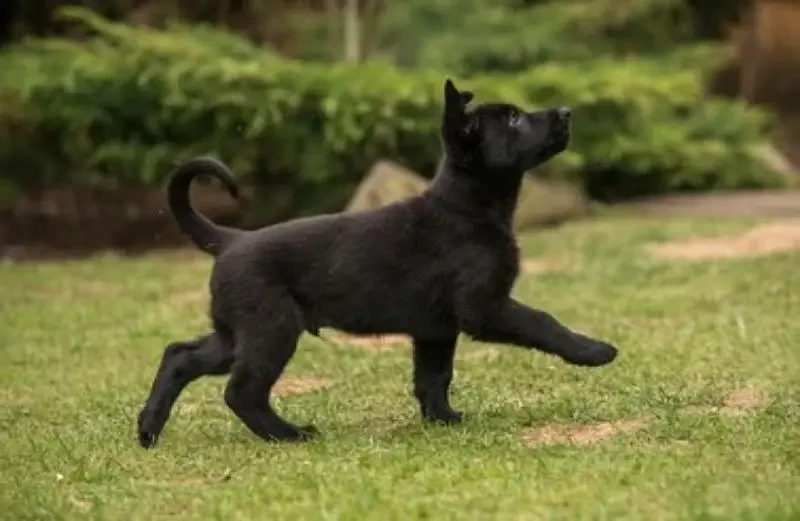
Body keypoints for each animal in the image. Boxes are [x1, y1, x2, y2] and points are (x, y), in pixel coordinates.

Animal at [138, 78, 620, 446]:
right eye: (515, 119)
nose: (566, 112)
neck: (469, 206)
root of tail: (231, 239)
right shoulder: (484, 308)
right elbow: (543, 321)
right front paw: (594, 350)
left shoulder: (436, 329)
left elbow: (433, 378)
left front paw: (443, 420)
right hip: (271, 329)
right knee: (242, 391)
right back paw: (290, 435)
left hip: (235, 333)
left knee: (180, 355)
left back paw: (148, 430)